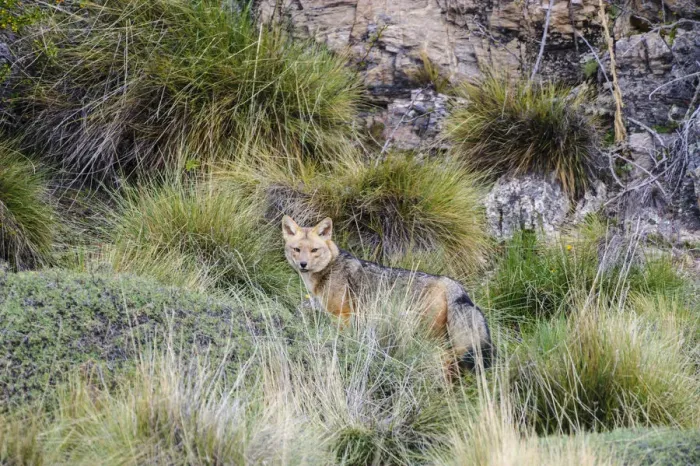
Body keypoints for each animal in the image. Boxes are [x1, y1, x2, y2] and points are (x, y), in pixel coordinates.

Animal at [282, 215, 493, 372]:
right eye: (297, 249)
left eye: (314, 250)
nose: (303, 264)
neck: (329, 268)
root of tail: (450, 282)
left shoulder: (342, 316)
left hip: (430, 338)